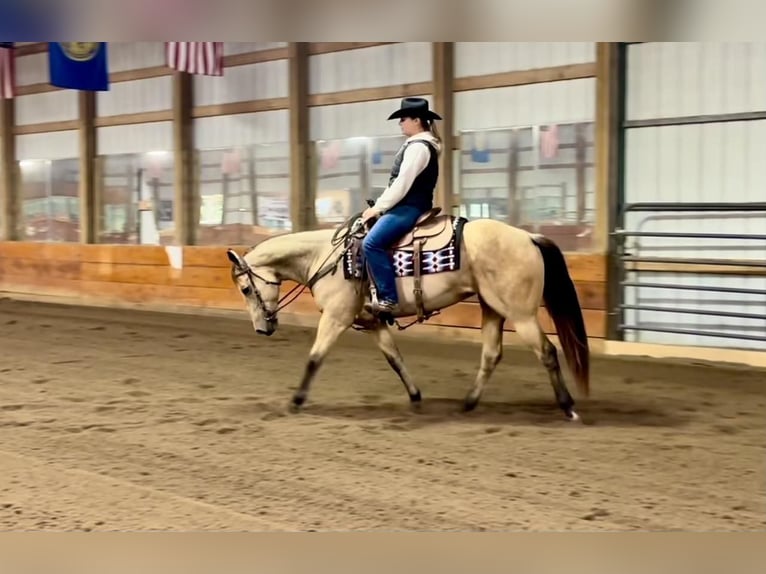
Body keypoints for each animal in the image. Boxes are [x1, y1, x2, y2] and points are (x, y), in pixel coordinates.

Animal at [225, 208, 592, 424]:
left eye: (245, 289)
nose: (262, 328)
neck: (326, 257)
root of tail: (528, 236)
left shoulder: (336, 317)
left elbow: (315, 358)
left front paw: (295, 401)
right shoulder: (372, 322)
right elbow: (395, 359)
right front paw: (415, 398)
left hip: (521, 313)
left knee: (547, 352)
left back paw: (569, 408)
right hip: (493, 308)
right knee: (491, 355)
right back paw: (467, 404)